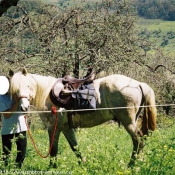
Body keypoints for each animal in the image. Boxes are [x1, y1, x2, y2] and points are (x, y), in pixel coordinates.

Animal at [9, 67, 157, 167]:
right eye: (15, 90)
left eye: (28, 85)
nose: (24, 108)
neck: (47, 94)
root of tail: (137, 84)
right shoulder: (67, 129)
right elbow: (75, 148)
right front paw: (83, 165)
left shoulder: (53, 128)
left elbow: (53, 150)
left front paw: (52, 168)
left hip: (129, 122)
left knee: (138, 141)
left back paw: (131, 165)